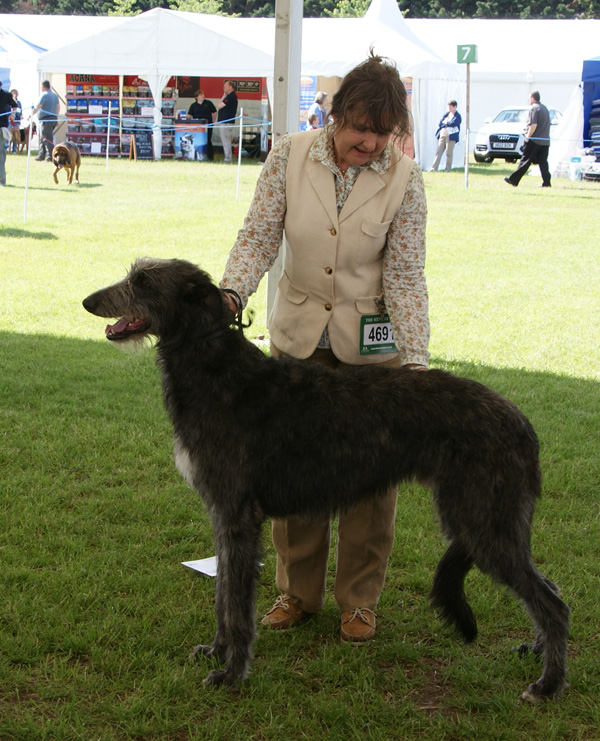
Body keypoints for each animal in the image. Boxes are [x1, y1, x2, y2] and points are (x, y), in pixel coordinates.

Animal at [82, 258, 568, 700]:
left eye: (142, 281)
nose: (88, 302)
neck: (216, 368)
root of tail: (522, 423)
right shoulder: (224, 515)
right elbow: (223, 594)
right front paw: (216, 651)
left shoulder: (239, 516)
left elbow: (236, 604)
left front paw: (232, 673)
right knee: (549, 588)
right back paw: (538, 651)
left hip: (482, 520)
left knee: (554, 603)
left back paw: (549, 684)